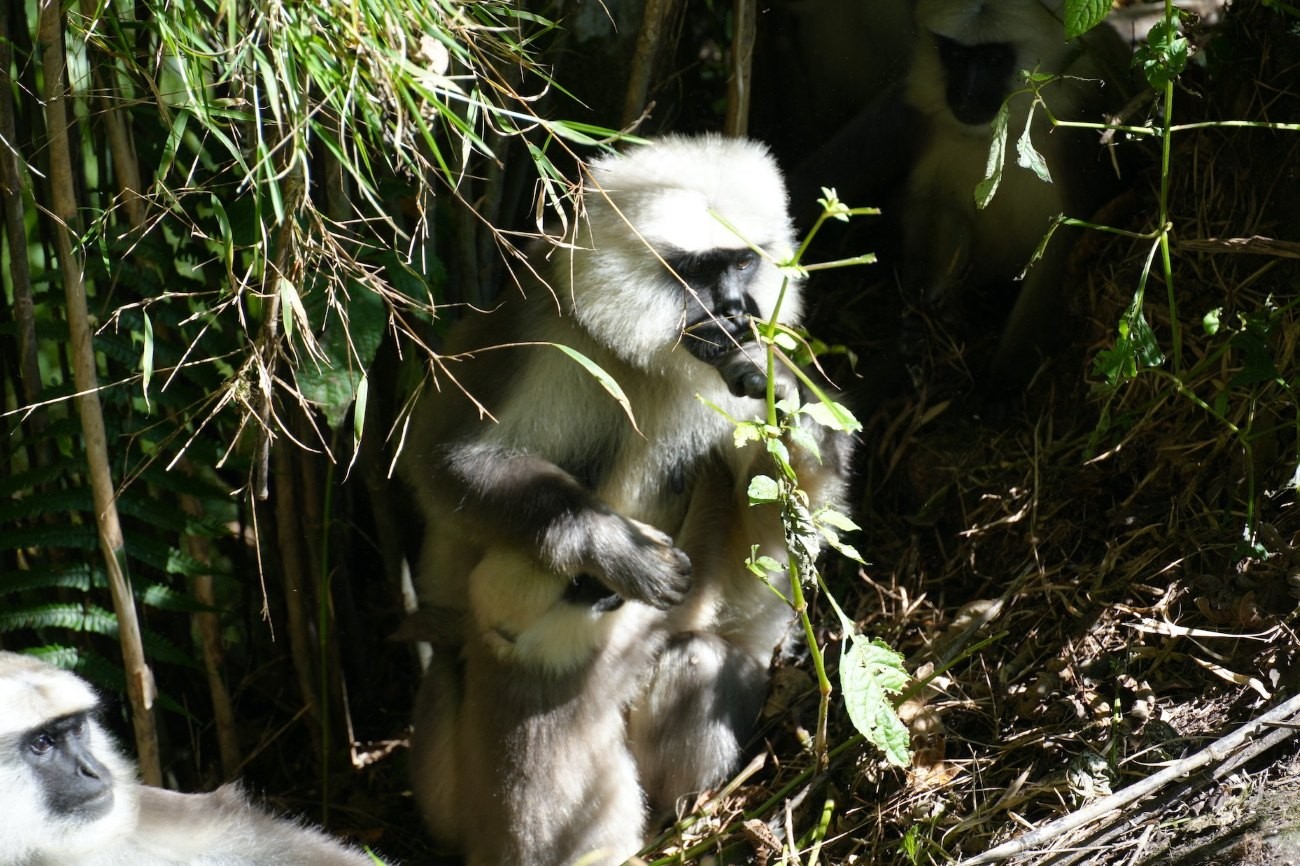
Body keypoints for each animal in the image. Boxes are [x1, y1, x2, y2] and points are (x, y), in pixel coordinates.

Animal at [398, 134, 852, 866]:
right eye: (699, 272)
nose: (738, 309)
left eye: (743, 262)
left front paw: (792, 409)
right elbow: (445, 462)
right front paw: (608, 544)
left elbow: (781, 526)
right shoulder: (545, 330)